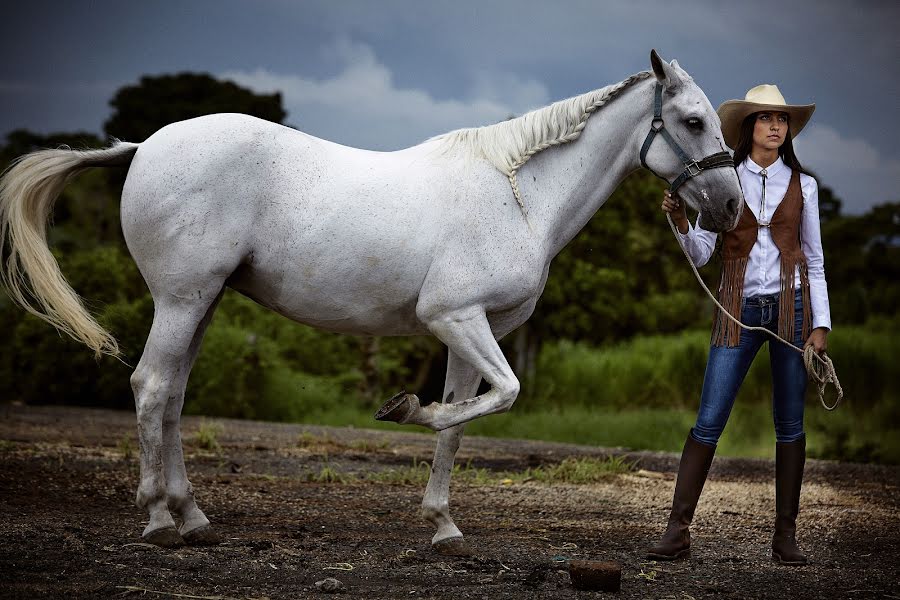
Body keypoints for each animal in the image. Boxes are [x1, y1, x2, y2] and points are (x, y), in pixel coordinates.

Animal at [0, 51, 740, 552]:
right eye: (693, 120)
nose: (732, 208)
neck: (518, 194)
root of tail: (145, 145)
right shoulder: (456, 318)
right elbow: (496, 397)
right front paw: (406, 408)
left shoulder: (470, 330)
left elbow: (464, 421)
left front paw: (443, 525)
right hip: (183, 298)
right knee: (153, 386)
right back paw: (158, 518)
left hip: (202, 303)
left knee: (174, 393)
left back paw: (194, 516)